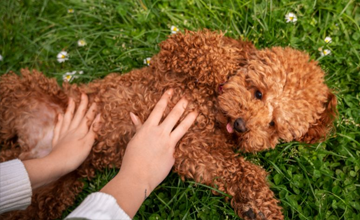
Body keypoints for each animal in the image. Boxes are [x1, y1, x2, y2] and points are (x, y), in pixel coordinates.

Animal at [0, 29, 338, 220]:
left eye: (273, 126)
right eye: (258, 92)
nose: (242, 125)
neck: (208, 107)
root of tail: (26, 144)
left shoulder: (195, 151)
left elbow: (243, 171)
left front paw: (259, 208)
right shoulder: (173, 54)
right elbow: (208, 50)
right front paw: (232, 63)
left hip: (45, 194)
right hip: (17, 89)